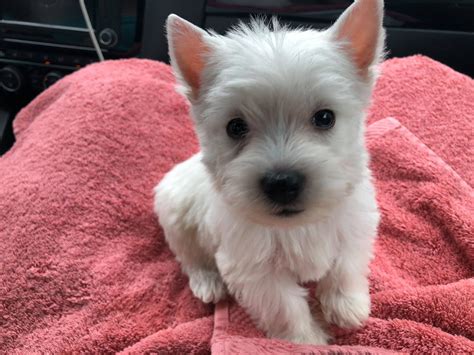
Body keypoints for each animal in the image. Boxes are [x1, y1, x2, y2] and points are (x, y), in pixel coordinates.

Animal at [156, 0, 386, 344]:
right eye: (235, 127)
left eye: (325, 117)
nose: (282, 183)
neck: (298, 226)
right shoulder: (256, 270)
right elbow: (286, 308)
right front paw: (307, 341)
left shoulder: (355, 226)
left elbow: (345, 267)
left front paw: (347, 308)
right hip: (176, 217)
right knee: (190, 257)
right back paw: (208, 284)